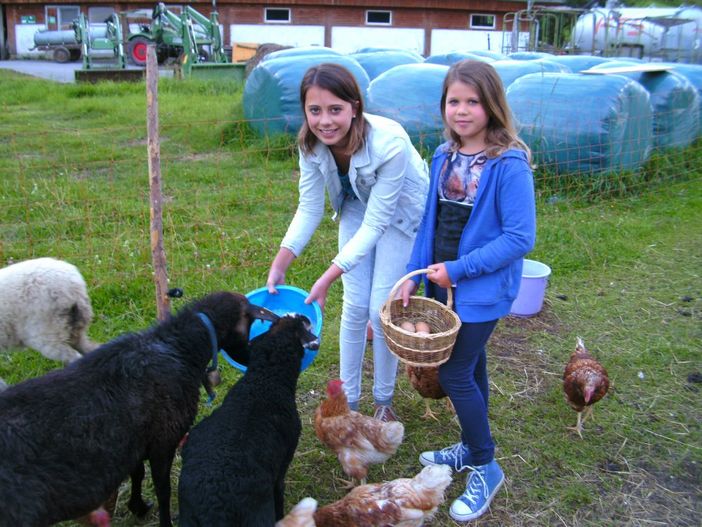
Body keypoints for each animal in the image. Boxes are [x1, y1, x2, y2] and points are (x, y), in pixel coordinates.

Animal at [0, 292, 280, 527]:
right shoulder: (163, 440)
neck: (180, 347)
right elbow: (163, 489)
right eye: (250, 326)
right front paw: (163, 521)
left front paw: (138, 506)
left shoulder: (136, 440)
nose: (250, 358)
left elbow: (138, 473)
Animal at [177, 316, 320, 524]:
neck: (263, 381)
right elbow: (279, 498)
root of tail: (212, 506)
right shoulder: (281, 469)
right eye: (301, 326)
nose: (304, 317)